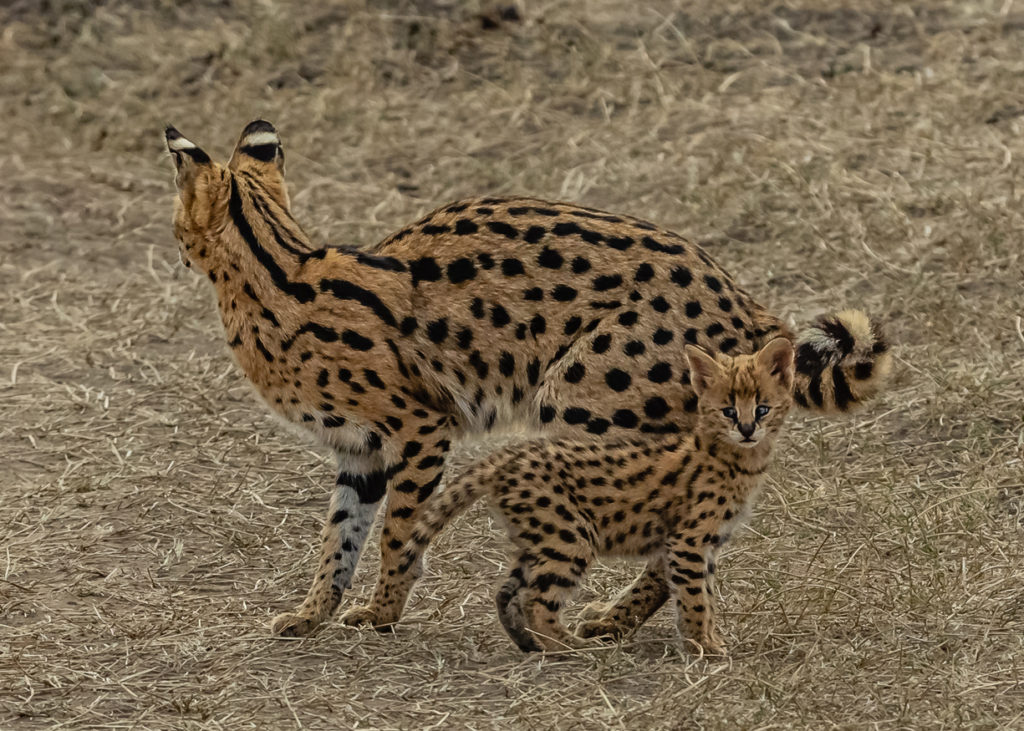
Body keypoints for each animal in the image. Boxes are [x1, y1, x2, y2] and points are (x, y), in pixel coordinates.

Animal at [401, 337, 798, 655]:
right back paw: (571, 647)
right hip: (569, 538)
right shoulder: (689, 541)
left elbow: (706, 596)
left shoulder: (708, 544)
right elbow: (696, 598)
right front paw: (704, 646)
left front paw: (709, 640)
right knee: (536, 601)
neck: (737, 458)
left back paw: (531, 643)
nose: (747, 429)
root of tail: (506, 457)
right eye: (728, 411)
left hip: (540, 539)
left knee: (508, 593)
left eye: (762, 408)